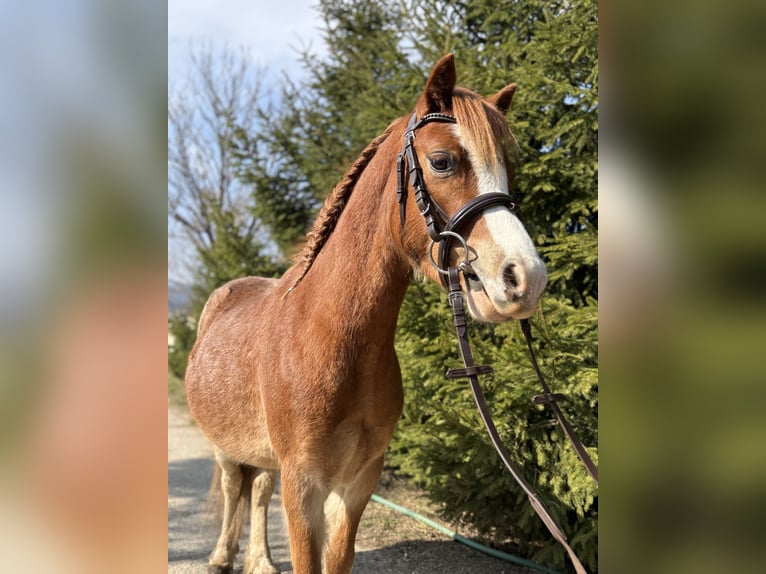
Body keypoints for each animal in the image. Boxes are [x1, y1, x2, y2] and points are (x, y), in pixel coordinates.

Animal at [184, 53, 548, 574]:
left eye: (509, 171)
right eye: (442, 161)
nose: (525, 277)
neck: (330, 339)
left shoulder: (358, 481)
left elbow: (335, 557)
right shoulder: (304, 484)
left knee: (259, 488)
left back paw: (261, 560)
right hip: (225, 445)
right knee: (237, 486)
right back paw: (220, 556)